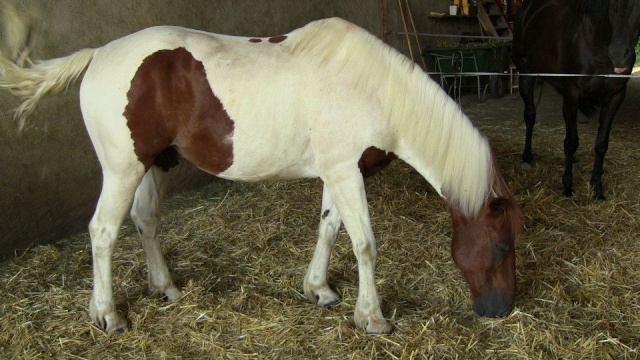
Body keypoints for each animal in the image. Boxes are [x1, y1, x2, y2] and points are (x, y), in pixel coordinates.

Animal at [0, 16, 520, 332]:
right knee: (103, 232)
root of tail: (99, 53)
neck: (374, 90)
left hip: (155, 164)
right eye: (501, 246)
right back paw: (108, 315)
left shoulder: (338, 173)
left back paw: (162, 288)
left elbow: (329, 229)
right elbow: (364, 245)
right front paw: (371, 317)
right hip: (122, 169)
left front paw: (319, 290)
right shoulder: (345, 173)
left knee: (145, 221)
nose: (501, 310)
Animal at [512, 0, 640, 200]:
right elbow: (571, 142)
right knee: (530, 115)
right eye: (612, 3)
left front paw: (596, 188)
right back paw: (527, 158)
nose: (619, 55)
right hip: (526, 75)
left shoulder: (615, 97)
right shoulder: (572, 95)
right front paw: (567, 186)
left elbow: (601, 144)